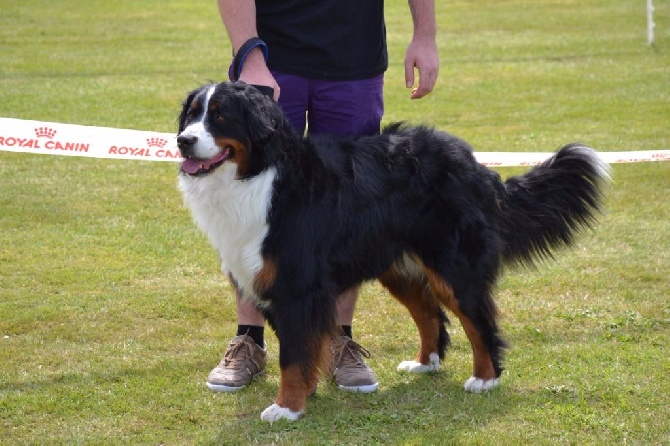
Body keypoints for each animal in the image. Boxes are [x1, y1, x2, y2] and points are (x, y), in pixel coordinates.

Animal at [176, 81, 612, 422]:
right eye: (191, 116)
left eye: (220, 117)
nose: (182, 141)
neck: (258, 177)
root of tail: (476, 166)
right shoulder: (269, 281)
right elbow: (301, 348)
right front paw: (304, 395)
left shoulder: (297, 286)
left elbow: (293, 355)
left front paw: (287, 407)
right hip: (400, 266)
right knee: (430, 315)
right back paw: (424, 363)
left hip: (453, 266)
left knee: (478, 320)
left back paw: (484, 378)